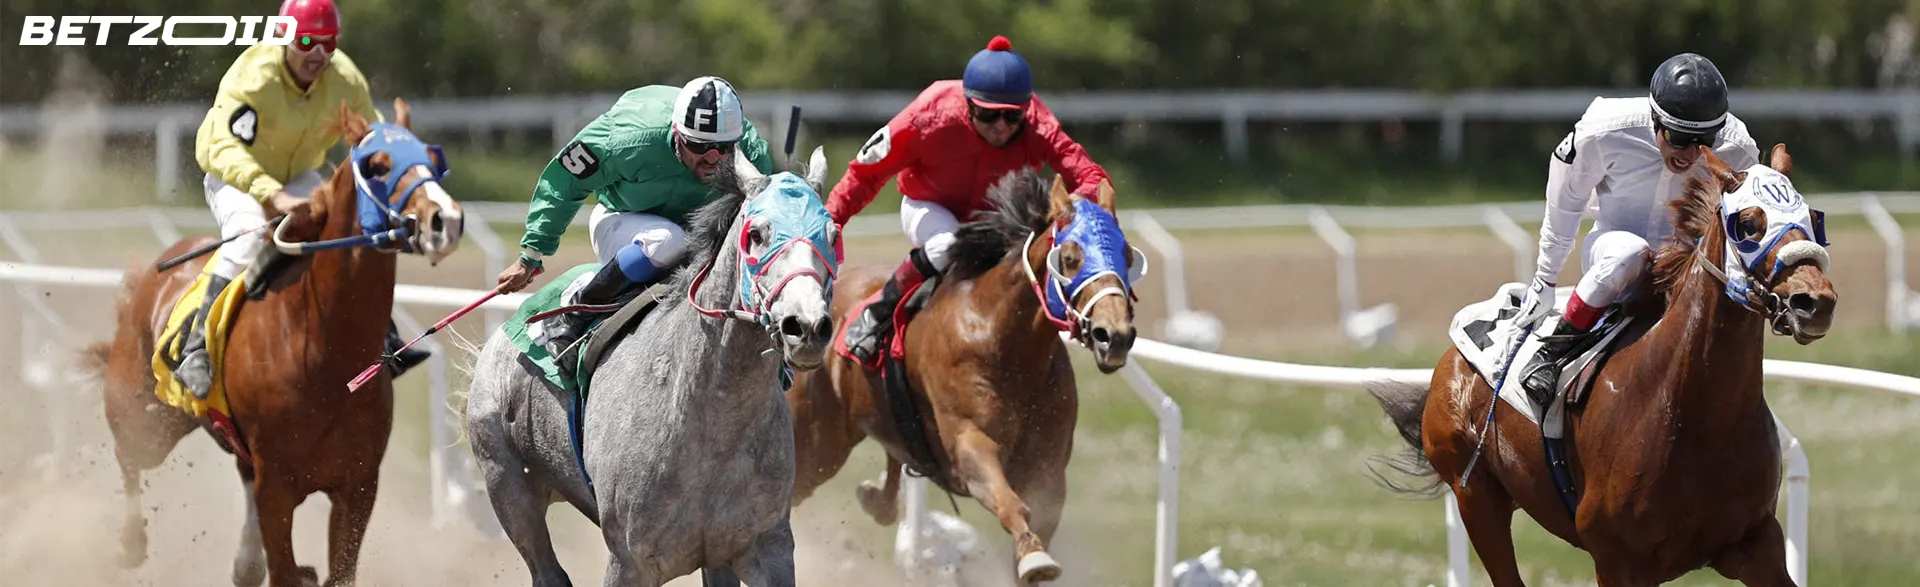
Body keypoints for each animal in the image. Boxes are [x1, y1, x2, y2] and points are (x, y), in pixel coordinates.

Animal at [80, 98, 466, 587]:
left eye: (433, 159)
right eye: (378, 165)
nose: (445, 220)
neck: (326, 354)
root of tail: (155, 272)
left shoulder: (358, 486)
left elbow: (336, 571)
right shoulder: (277, 488)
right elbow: (283, 568)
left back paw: (244, 560)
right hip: (146, 420)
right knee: (128, 456)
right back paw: (131, 543)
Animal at [460, 146, 840, 587]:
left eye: (833, 235)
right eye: (757, 234)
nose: (807, 326)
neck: (710, 422)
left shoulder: (766, 546)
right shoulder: (629, 561)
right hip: (507, 483)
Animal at [785, 168, 1145, 585]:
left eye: (1127, 256)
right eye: (1069, 259)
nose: (1114, 335)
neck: (1003, 343)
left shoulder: (1048, 471)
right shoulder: (970, 443)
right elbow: (1009, 504)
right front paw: (1034, 557)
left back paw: (877, 497)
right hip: (816, 440)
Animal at [1369, 143, 1838, 586]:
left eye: (1814, 218)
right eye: (1749, 224)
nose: (1814, 302)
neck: (1695, 416)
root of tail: (1450, 363)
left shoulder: (1755, 544)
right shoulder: (1618, 560)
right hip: (1476, 495)